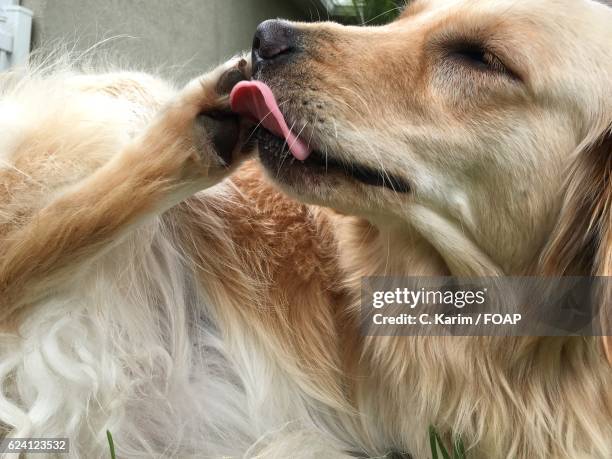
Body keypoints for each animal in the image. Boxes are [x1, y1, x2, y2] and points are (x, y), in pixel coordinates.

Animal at [1, 0, 612, 458]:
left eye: (482, 59)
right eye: (408, 15)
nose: (265, 36)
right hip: (108, 113)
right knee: (22, 254)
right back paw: (193, 130)